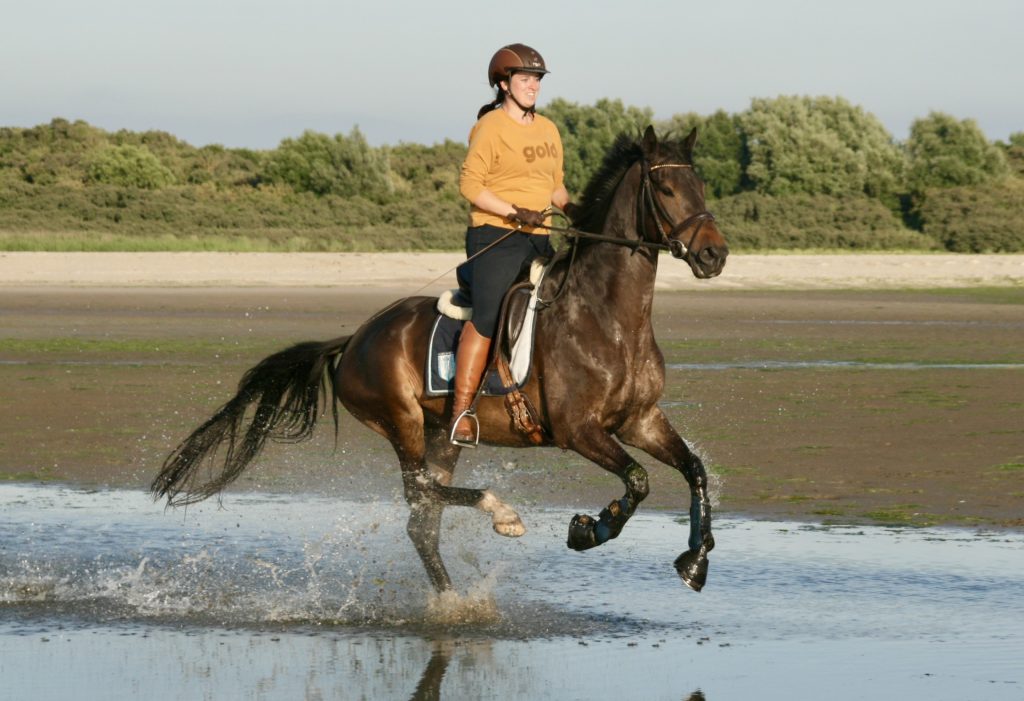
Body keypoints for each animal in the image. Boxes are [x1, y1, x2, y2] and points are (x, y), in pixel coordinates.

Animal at [149, 124, 729, 589]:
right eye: (667, 188)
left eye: (702, 186)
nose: (714, 255)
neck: (607, 317)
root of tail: (354, 339)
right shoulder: (578, 430)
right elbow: (639, 480)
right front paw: (589, 529)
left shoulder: (639, 420)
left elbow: (694, 470)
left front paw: (694, 562)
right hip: (401, 421)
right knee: (422, 493)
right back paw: (500, 515)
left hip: (444, 431)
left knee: (423, 517)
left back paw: (451, 601)